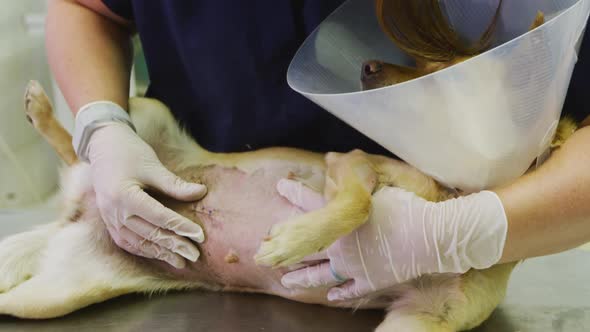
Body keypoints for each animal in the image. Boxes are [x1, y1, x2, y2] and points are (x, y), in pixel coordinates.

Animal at [0, 1, 580, 330]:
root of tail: (83, 210)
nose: (365, 66)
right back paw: (42, 111)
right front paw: (291, 242)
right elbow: (358, 202)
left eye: (436, 71)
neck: (450, 196)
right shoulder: (350, 163)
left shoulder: (420, 319)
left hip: (53, 295)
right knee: (93, 140)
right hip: (147, 118)